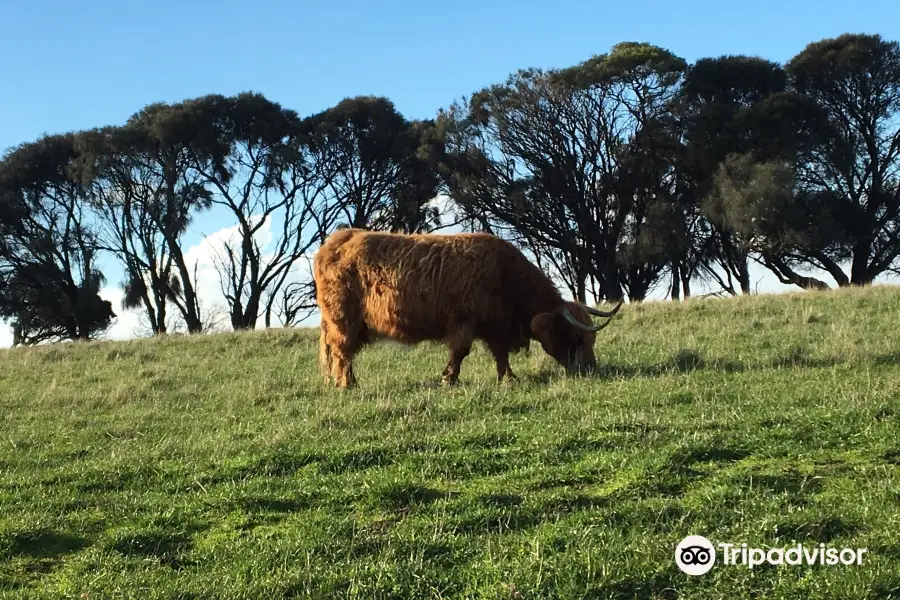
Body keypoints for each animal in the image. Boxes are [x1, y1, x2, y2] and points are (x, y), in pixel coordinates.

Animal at [312, 229, 624, 390]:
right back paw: (348, 384)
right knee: (342, 352)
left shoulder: (496, 326)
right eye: (576, 337)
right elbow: (460, 351)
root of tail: (339, 238)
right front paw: (449, 379)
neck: (505, 276)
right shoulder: (465, 321)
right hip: (343, 320)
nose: (590, 368)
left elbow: (500, 354)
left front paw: (508, 378)